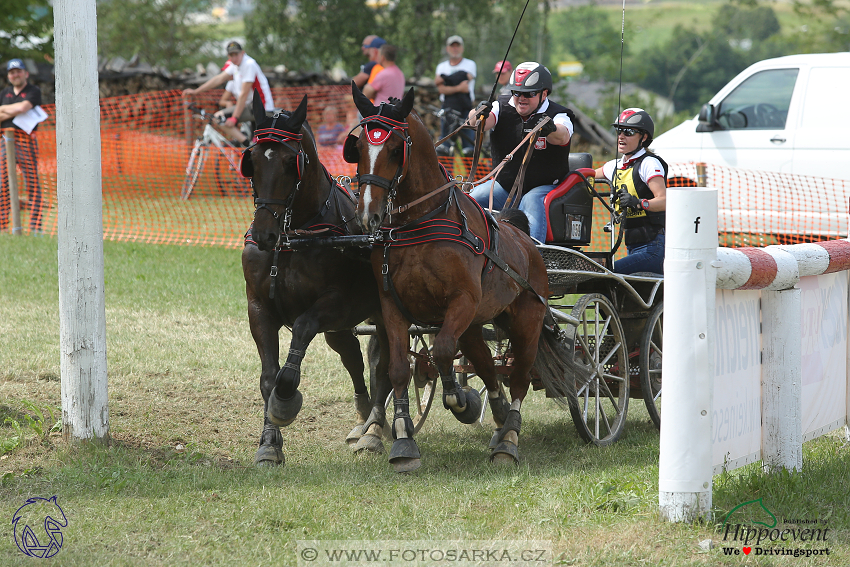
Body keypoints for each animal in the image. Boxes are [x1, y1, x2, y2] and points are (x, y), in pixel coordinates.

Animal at [240, 92, 390, 466]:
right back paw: (364, 415)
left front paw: (286, 397)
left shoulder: (335, 304)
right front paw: (269, 443)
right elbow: (268, 376)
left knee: (387, 366)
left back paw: (375, 429)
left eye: (289, 161)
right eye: (251, 160)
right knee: (354, 357)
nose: (263, 234)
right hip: (343, 327)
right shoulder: (258, 307)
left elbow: (302, 329)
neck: (294, 238)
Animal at [344, 84, 576, 472]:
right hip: (476, 324)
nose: (368, 215)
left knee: (519, 377)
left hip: (527, 320)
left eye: (394, 149)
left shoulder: (461, 301)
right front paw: (403, 440)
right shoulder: (392, 306)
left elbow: (440, 351)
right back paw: (498, 418)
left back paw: (508, 439)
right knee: (486, 366)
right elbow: (397, 369)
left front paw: (459, 400)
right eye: (358, 146)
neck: (421, 223)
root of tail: (526, 241)